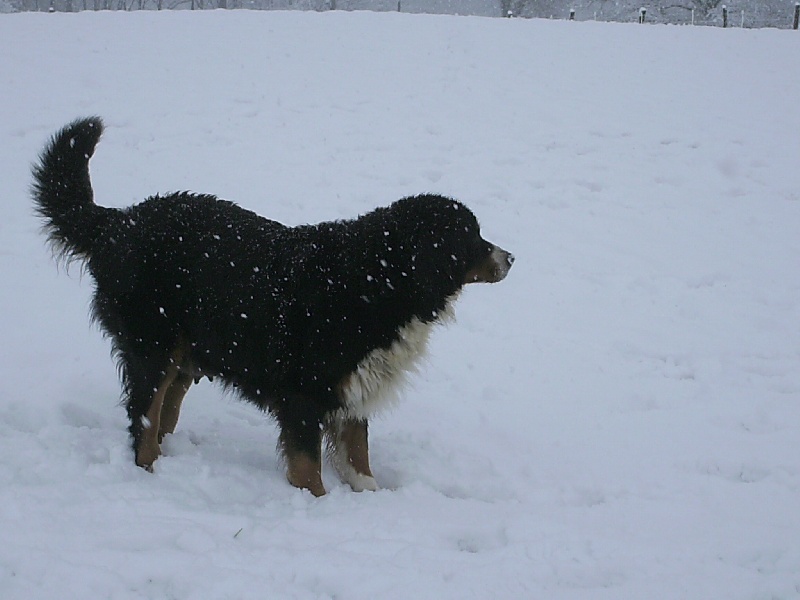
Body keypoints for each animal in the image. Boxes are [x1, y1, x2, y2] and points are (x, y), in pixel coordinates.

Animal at [31, 117, 516, 496]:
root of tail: (120, 220)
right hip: (152, 348)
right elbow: (308, 469)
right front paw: (317, 506)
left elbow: (359, 459)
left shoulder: (352, 390)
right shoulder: (304, 392)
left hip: (184, 357)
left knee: (163, 415)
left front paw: (369, 497)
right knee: (143, 421)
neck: (374, 282)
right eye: (470, 237)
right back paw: (149, 475)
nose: (510, 258)